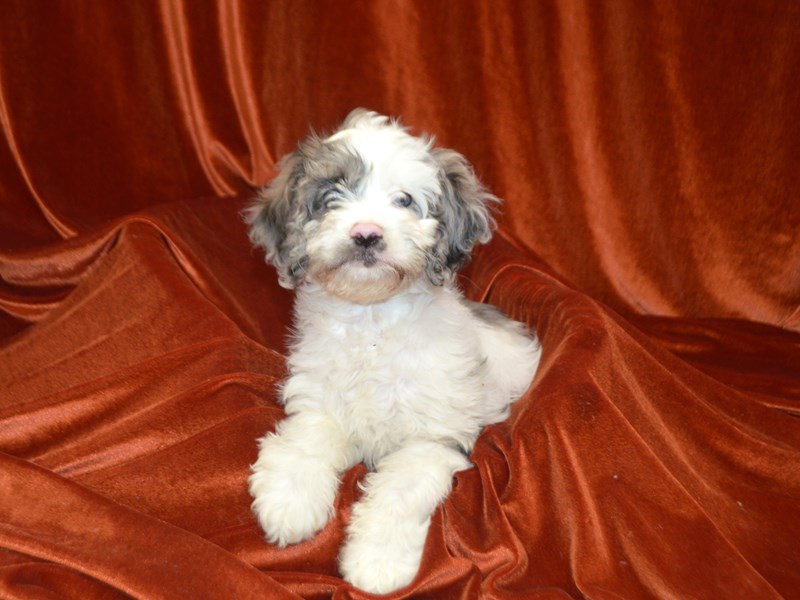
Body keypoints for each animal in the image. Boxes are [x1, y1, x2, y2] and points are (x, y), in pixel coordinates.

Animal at [245, 109, 544, 596]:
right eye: (331, 196)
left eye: (404, 200)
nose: (366, 234)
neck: (373, 323)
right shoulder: (319, 399)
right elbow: (308, 439)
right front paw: (289, 500)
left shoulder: (435, 438)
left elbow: (400, 489)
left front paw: (377, 562)